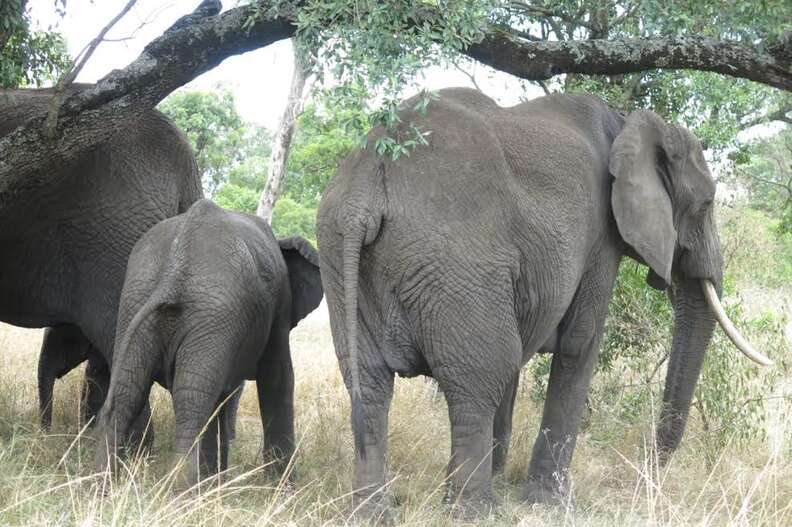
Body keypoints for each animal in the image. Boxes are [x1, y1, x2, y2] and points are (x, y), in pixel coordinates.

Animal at [94, 199, 323, 487]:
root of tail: (178, 263)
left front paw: (216, 483)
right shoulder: (279, 307)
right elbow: (277, 379)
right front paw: (282, 489)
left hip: (137, 301)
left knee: (129, 390)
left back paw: (100, 487)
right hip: (213, 311)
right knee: (192, 400)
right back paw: (181, 491)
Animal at [316, 87, 771, 516]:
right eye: (707, 204)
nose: (650, 469)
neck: (628, 123)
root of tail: (367, 183)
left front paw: (506, 476)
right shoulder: (600, 237)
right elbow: (578, 343)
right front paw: (548, 502)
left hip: (338, 254)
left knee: (370, 384)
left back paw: (370, 513)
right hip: (455, 261)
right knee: (480, 377)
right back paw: (476, 510)